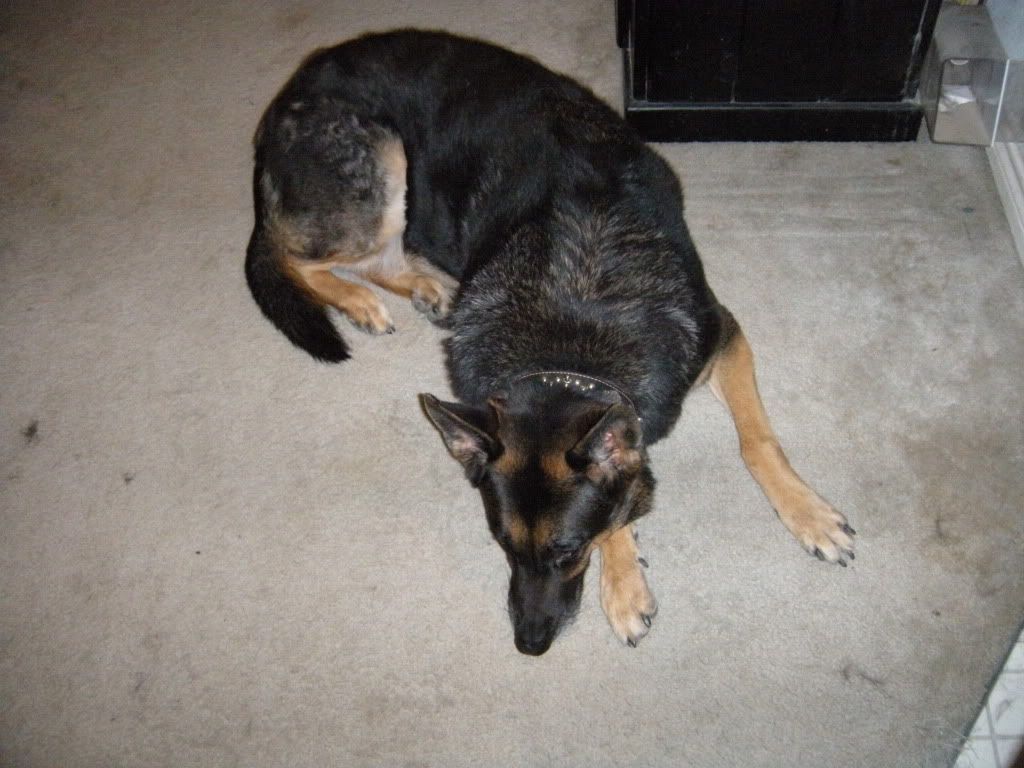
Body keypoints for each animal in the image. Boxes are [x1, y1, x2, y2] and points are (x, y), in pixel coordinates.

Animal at [245, 29, 856, 656]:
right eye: (502, 545)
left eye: (566, 550)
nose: (529, 645)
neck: (569, 342)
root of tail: (284, 101)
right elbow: (623, 504)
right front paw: (625, 582)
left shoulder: (722, 336)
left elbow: (757, 442)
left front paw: (808, 514)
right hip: (381, 168)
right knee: (294, 255)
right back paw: (363, 300)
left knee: (353, 256)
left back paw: (423, 286)